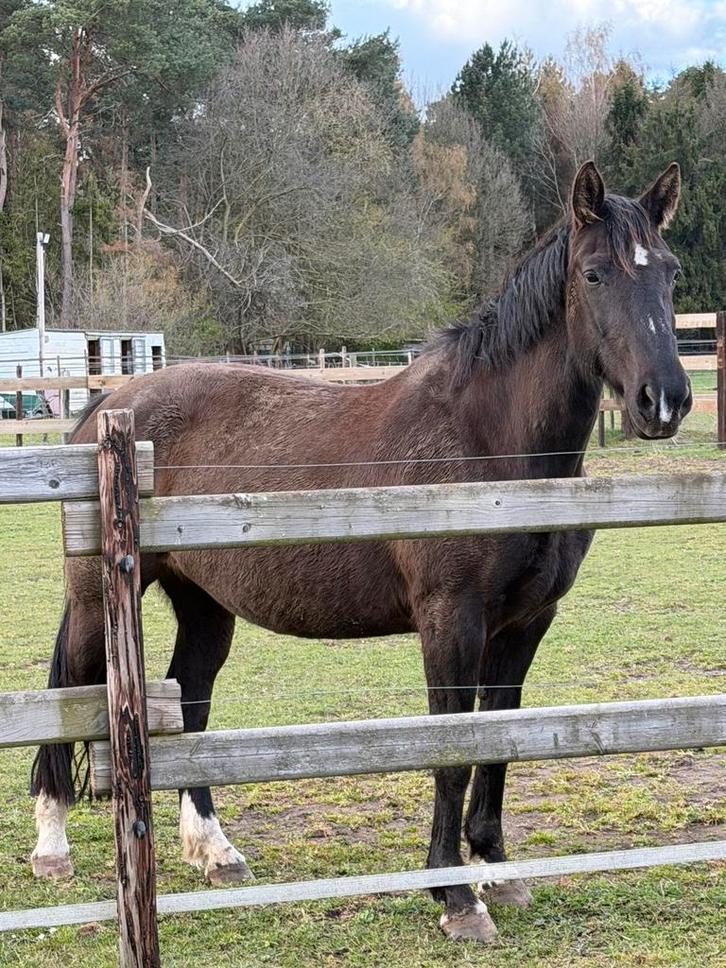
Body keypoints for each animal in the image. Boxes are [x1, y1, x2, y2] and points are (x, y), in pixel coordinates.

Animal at [30, 161, 690, 943]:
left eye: (670, 274)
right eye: (593, 274)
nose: (664, 400)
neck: (487, 440)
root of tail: (106, 410)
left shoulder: (525, 625)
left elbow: (499, 741)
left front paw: (496, 871)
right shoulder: (450, 620)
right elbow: (451, 750)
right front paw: (455, 897)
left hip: (206, 607)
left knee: (190, 701)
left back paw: (215, 851)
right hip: (95, 601)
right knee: (67, 695)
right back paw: (52, 848)